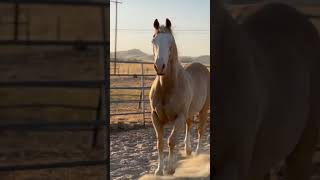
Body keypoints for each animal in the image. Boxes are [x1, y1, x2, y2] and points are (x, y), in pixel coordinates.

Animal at [149, 19, 210, 175]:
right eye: (153, 40)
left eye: (170, 42)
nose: (160, 66)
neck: (167, 88)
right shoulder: (155, 117)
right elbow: (160, 143)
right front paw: (159, 170)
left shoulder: (179, 117)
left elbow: (171, 141)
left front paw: (170, 169)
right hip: (190, 112)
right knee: (189, 125)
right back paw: (188, 150)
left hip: (203, 110)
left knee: (200, 130)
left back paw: (197, 153)